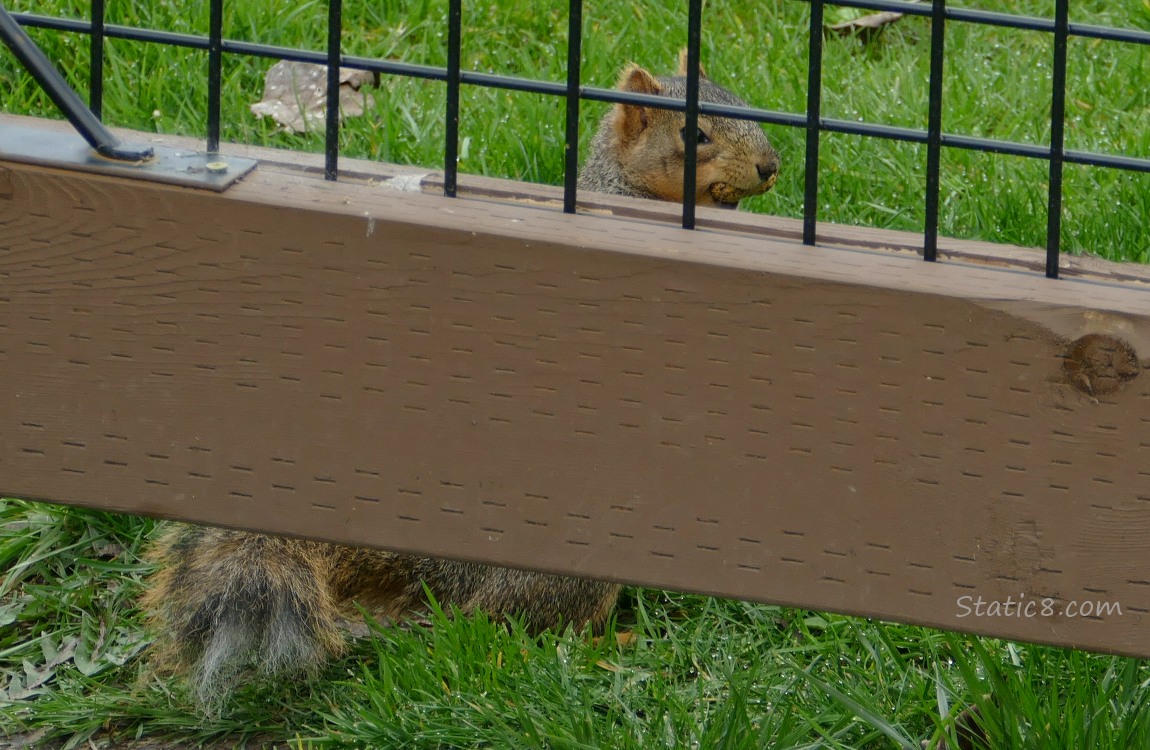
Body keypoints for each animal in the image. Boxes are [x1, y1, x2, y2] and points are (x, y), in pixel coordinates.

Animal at [141, 55, 780, 705]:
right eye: (693, 134)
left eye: (740, 101)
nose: (770, 167)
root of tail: (438, 572)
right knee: (515, 625)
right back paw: (610, 646)